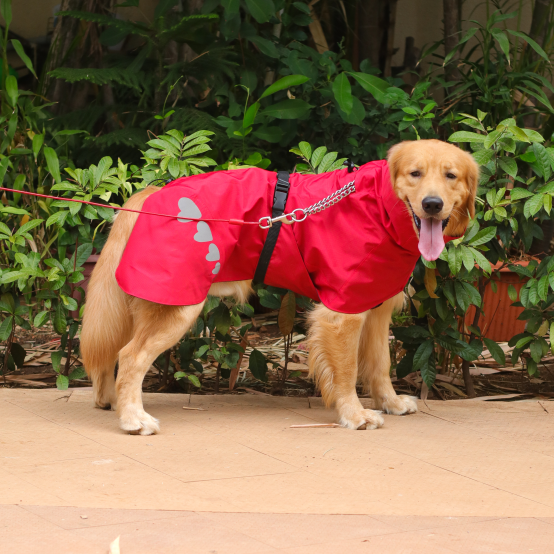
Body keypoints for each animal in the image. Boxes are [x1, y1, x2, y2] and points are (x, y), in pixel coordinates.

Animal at [80, 138, 476, 432]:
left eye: (451, 175)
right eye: (415, 173)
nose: (432, 204)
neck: (376, 204)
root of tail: (150, 194)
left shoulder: (376, 310)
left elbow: (380, 365)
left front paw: (390, 402)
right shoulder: (342, 313)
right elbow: (347, 372)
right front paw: (354, 414)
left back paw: (112, 402)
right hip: (178, 307)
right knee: (130, 357)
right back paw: (133, 418)